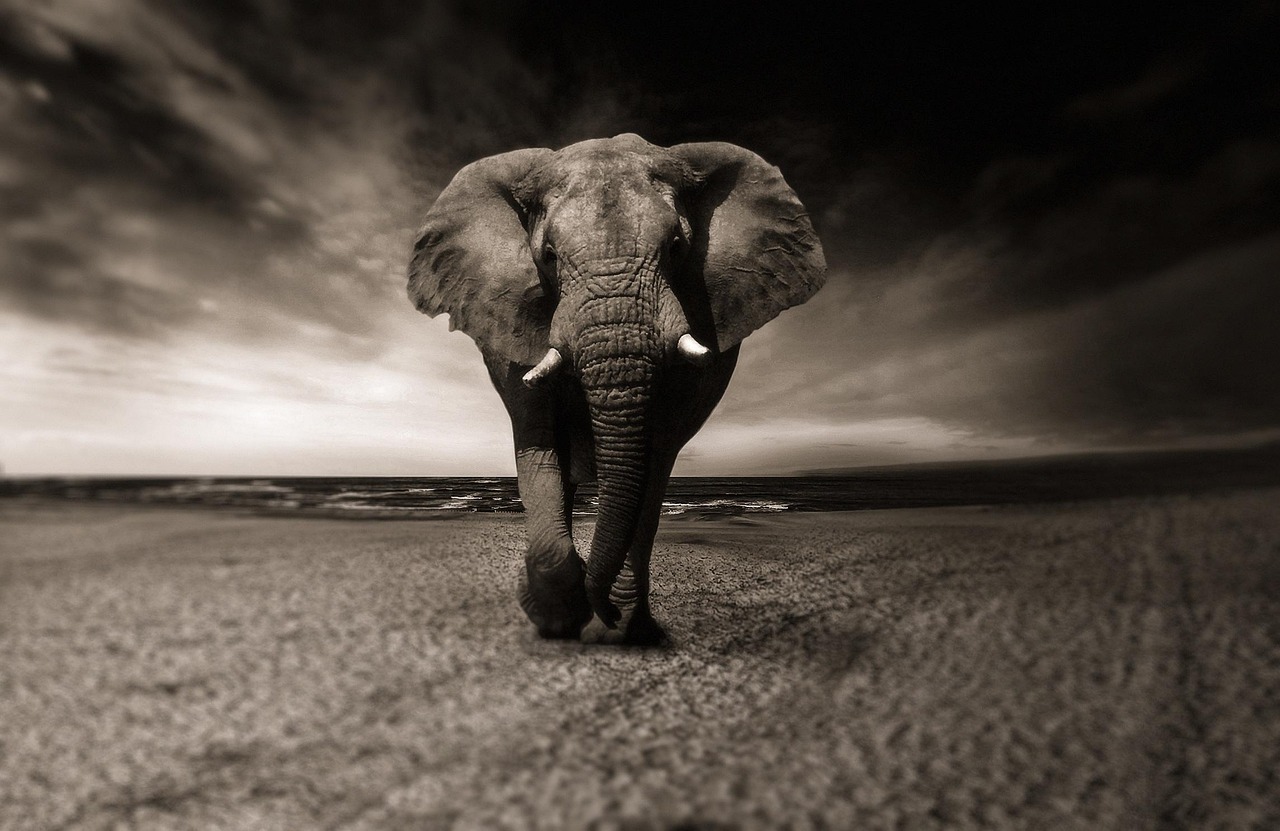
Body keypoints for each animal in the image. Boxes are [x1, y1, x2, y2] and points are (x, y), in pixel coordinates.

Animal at [407, 133, 826, 645]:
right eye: (548, 256)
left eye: (677, 247)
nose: (601, 607)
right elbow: (538, 442)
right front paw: (557, 618)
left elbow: (654, 456)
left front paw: (615, 625)